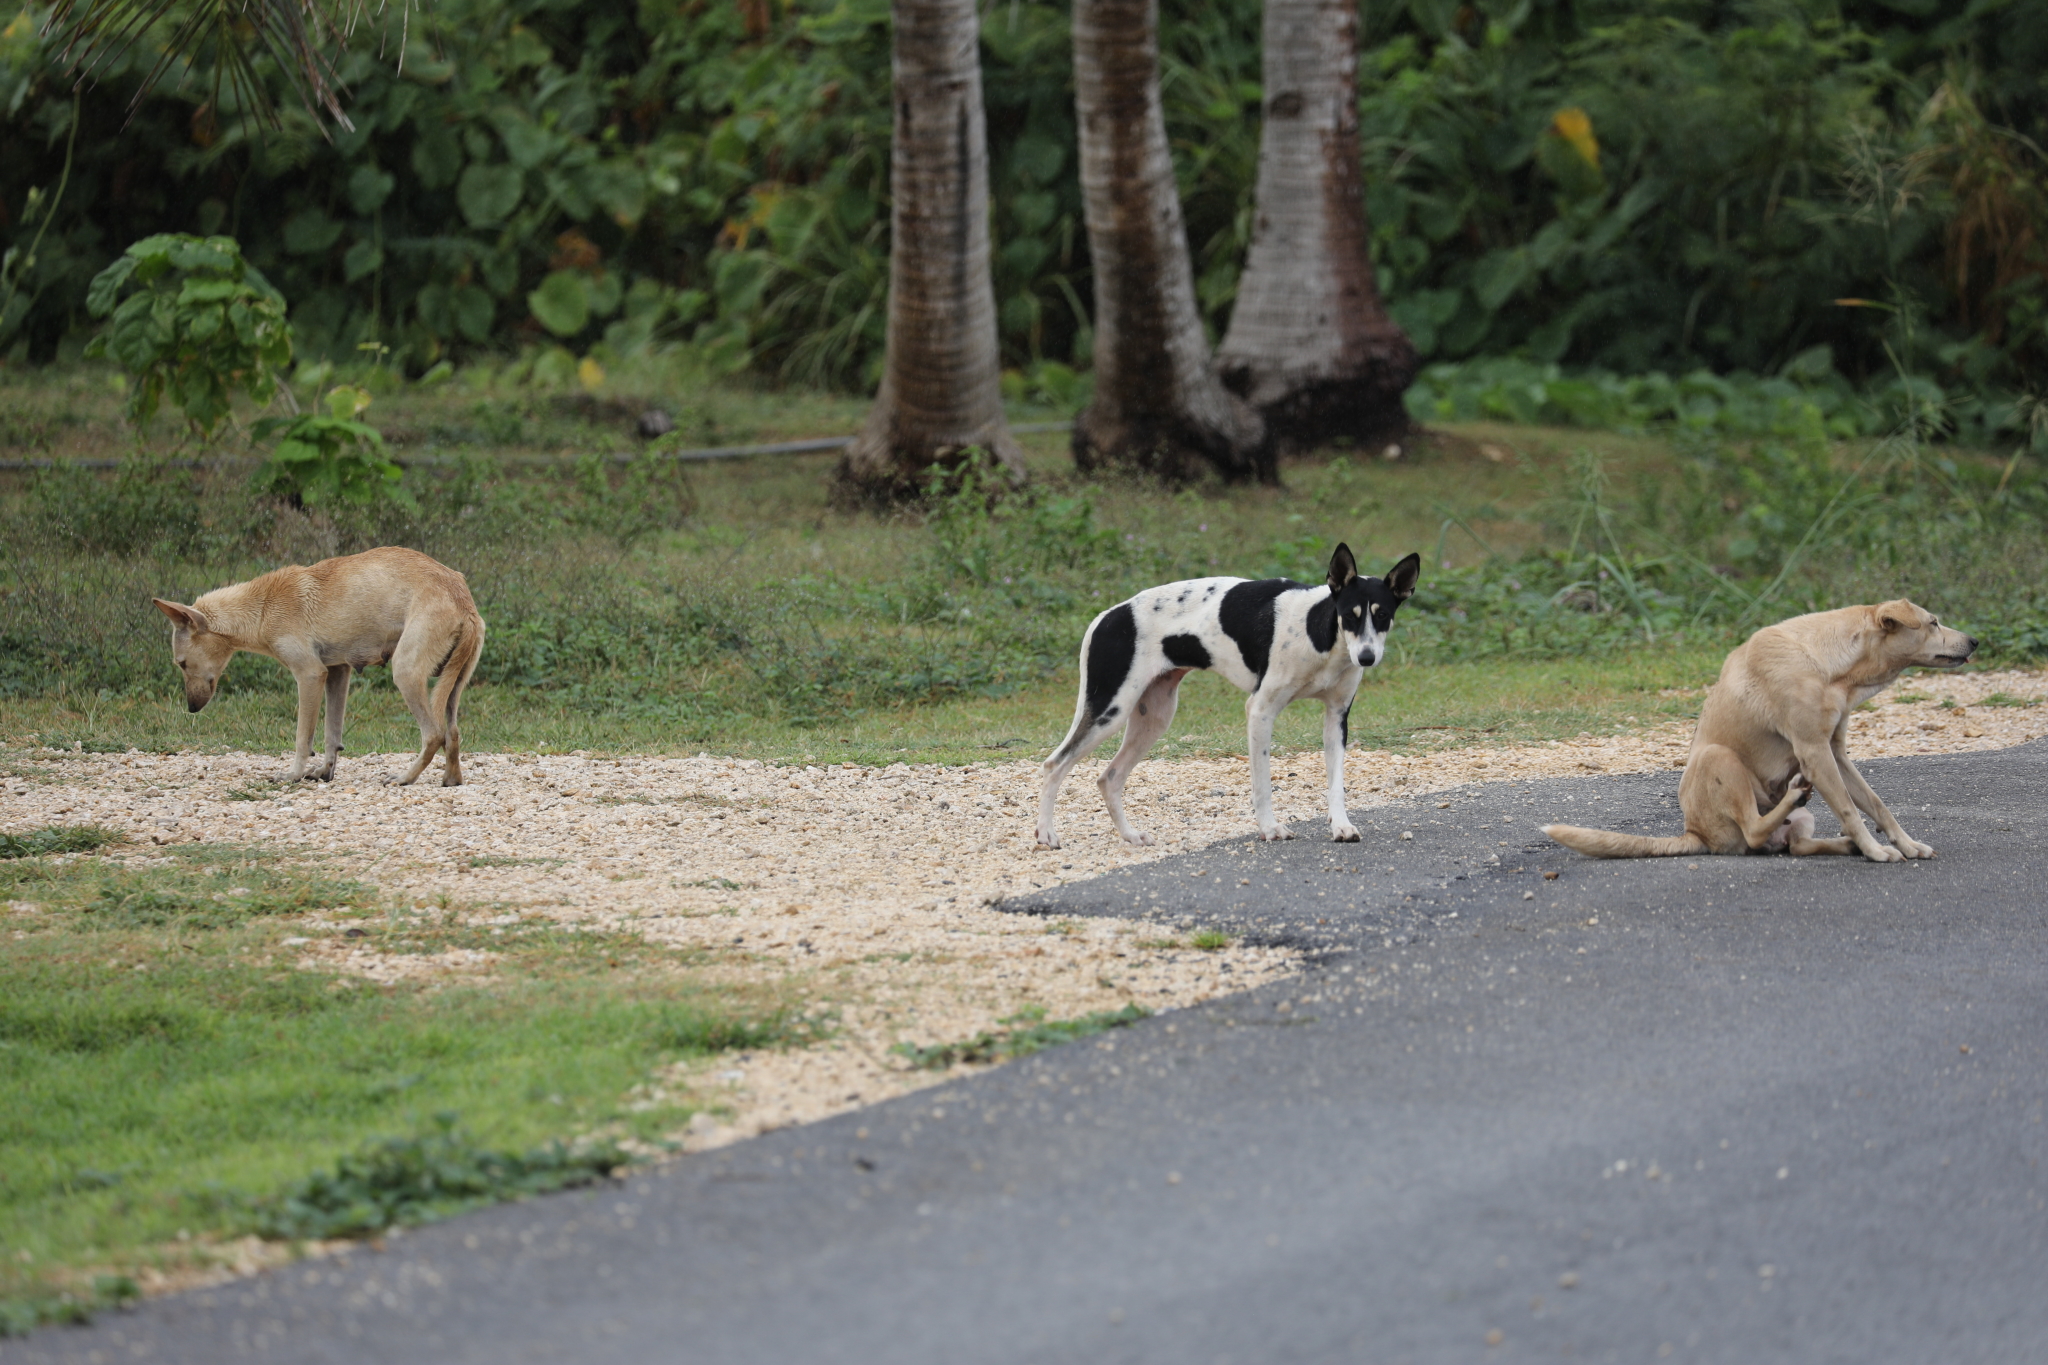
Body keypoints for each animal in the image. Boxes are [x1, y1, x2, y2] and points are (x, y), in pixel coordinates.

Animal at [155, 540, 483, 777]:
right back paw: (451, 779)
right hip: (452, 685)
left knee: (434, 735)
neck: (263, 606)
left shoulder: (310, 675)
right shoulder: (337, 673)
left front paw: (293, 774)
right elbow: (331, 734)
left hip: (405, 674)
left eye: (181, 663)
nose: (191, 708)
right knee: (452, 734)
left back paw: (405, 778)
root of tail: (463, 600)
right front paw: (325, 771)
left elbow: (303, 737)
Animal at [1040, 540, 1425, 843]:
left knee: (1109, 778)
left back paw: (1130, 836)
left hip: (1153, 720)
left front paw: (1341, 826)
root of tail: (1108, 615)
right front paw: (1270, 828)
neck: (1319, 632)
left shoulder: (1336, 719)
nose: (1367, 657)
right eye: (1350, 614)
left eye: (1383, 616)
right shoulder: (1260, 711)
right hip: (1110, 710)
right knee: (1054, 764)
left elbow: (1336, 783)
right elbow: (1263, 784)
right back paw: (1046, 834)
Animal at [1540, 601, 1974, 863]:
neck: (1830, 666)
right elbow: (1852, 811)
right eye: (1933, 622)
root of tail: (1694, 833)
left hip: (1800, 818)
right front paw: (1875, 851)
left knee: (1795, 846)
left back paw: (1838, 842)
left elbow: (1877, 805)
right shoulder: (1814, 752)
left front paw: (1906, 844)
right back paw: (1807, 809)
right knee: (1751, 832)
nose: (1975, 640)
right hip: (1719, 758)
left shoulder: (1835, 752)